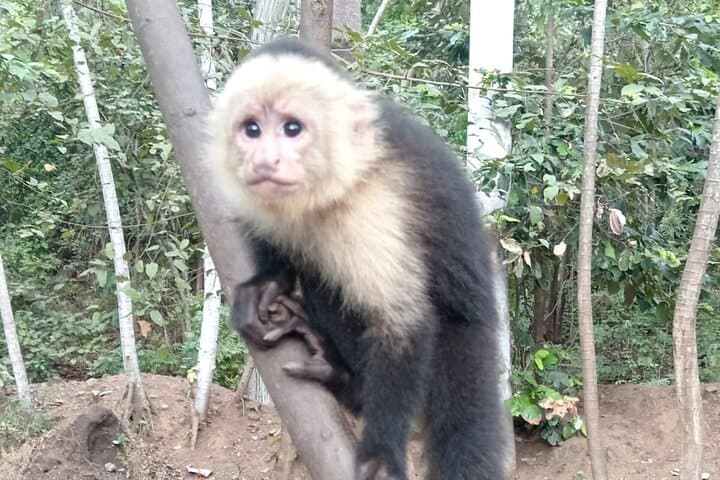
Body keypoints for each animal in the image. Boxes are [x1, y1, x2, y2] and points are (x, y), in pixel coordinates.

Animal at [207, 38, 508, 480]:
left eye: (292, 128)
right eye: (252, 129)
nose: (264, 161)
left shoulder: (373, 207)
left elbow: (403, 323)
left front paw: (381, 453)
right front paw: (268, 281)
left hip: (466, 340)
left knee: (464, 426)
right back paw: (341, 375)